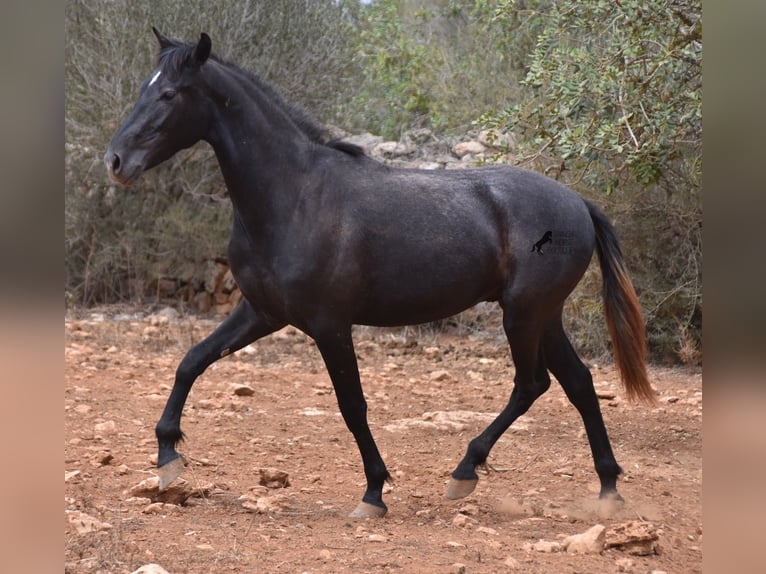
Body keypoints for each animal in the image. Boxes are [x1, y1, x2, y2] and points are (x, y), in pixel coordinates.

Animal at [103, 28, 656, 520]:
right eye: (144, 87)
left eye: (169, 93)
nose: (115, 161)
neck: (294, 196)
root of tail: (579, 204)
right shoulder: (260, 312)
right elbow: (191, 362)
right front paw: (168, 457)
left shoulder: (329, 325)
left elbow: (353, 406)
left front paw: (374, 493)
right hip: (544, 316)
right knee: (578, 383)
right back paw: (607, 490)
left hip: (524, 315)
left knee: (532, 384)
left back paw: (465, 472)